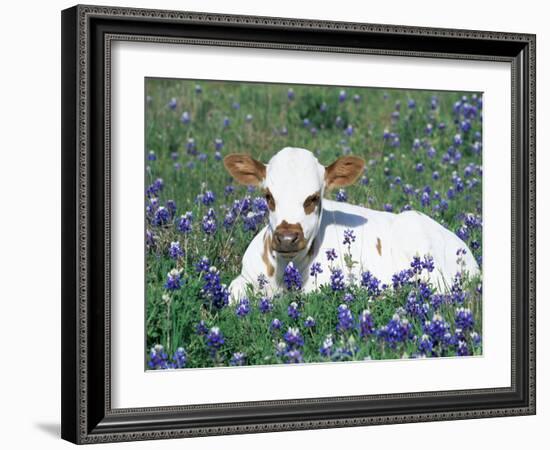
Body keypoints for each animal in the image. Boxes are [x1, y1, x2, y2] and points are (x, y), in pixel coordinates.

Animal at [222, 148, 480, 302]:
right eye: (268, 196)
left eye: (313, 198)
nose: (287, 238)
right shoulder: (243, 279)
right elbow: (230, 294)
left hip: (415, 231)